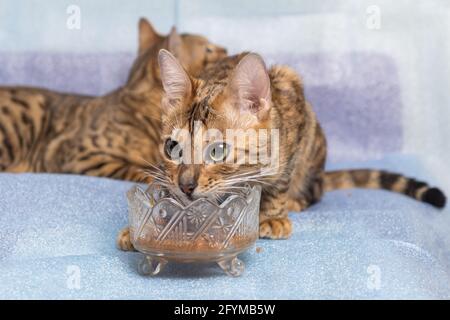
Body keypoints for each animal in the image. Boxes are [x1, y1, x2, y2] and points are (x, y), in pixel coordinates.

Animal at [116, 49, 446, 248]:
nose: (186, 185)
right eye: (172, 147)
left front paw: (272, 215)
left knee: (315, 189)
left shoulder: (292, 104)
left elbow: (279, 181)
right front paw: (149, 226)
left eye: (217, 151)